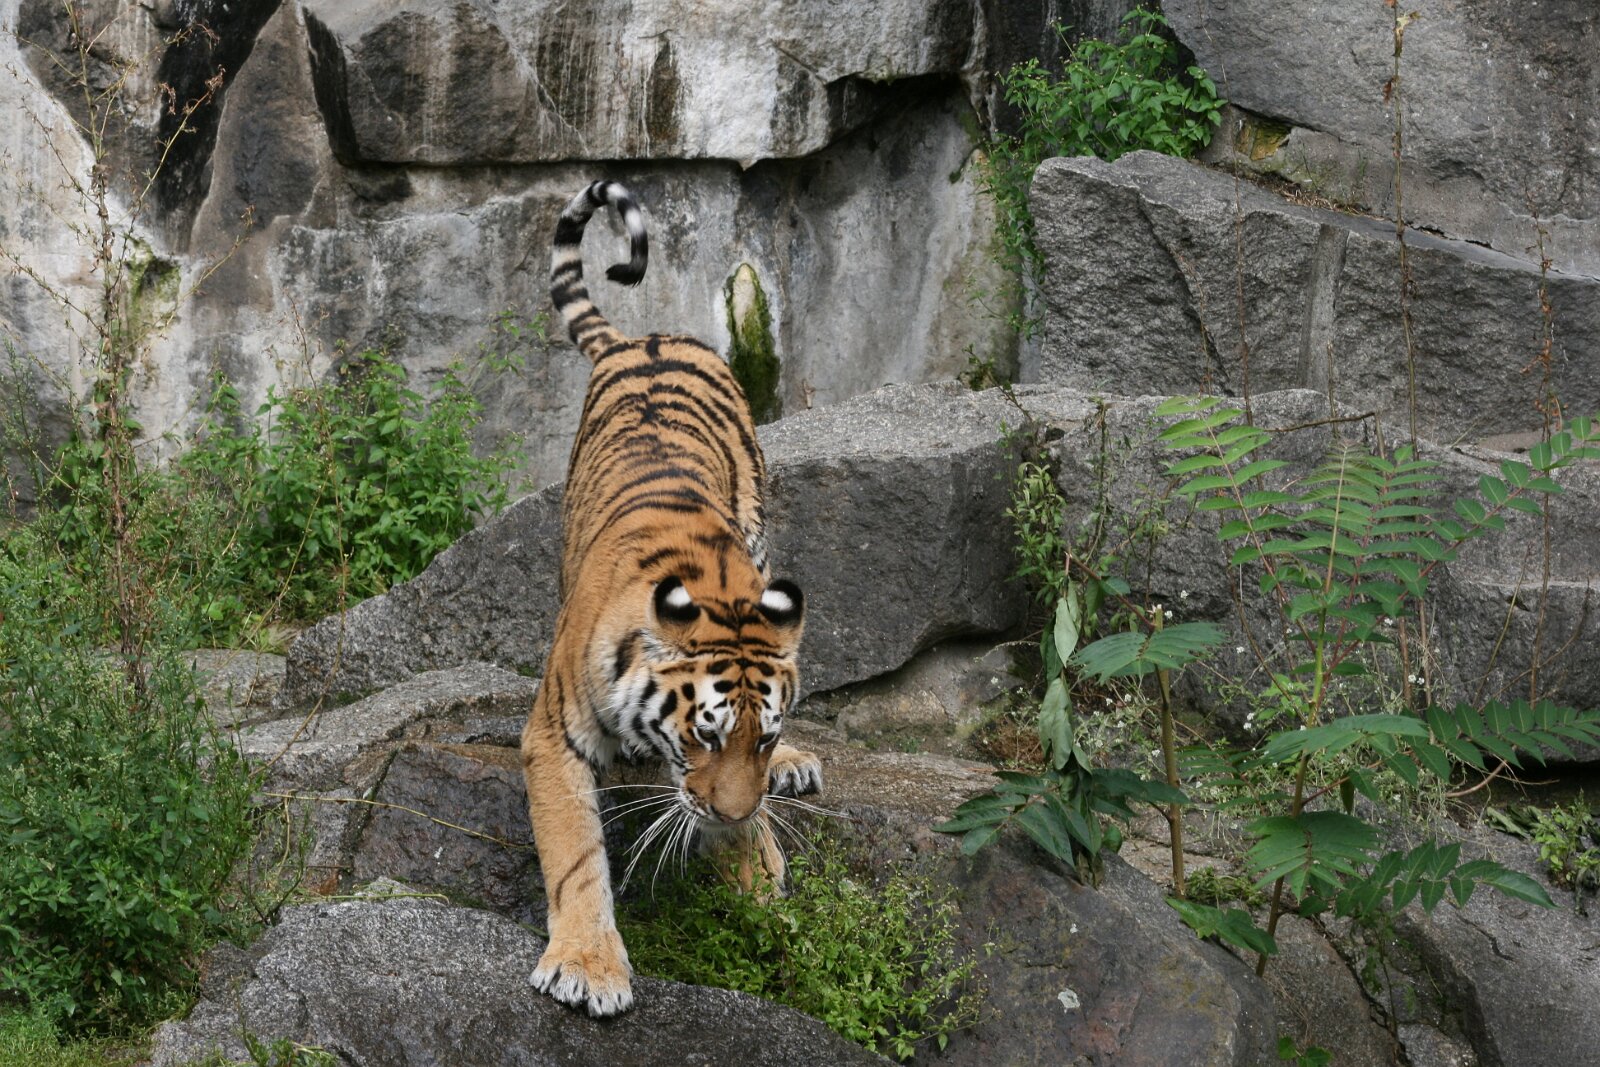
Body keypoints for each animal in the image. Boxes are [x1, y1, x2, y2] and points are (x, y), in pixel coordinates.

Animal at [521, 180, 822, 1017]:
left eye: (758, 738)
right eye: (706, 735)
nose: (735, 809)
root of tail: (641, 339)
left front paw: (756, 872)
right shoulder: (551, 735)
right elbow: (575, 854)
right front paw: (588, 966)